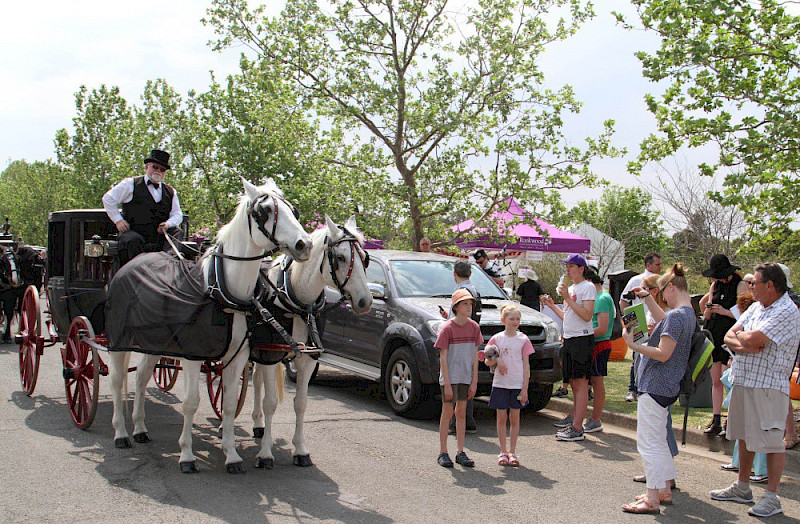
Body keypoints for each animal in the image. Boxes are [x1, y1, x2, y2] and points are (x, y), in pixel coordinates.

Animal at [108, 179, 312, 474]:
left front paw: (232, 455)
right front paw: (187, 455)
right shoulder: (193, 355)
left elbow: (228, 404)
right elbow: (190, 403)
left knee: (141, 376)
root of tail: (131, 264)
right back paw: (121, 433)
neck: (220, 290)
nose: (304, 244)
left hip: (153, 342)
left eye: (292, 209)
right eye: (262, 212)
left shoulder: (237, 358)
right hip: (118, 341)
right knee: (116, 380)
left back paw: (140, 428)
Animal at [252, 215, 374, 468]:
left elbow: (301, 403)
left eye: (364, 258)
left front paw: (300, 450)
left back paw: (258, 425)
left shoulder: (308, 358)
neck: (296, 301)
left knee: (256, 380)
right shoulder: (269, 353)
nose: (365, 301)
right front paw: (265, 452)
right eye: (340, 257)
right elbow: (270, 402)